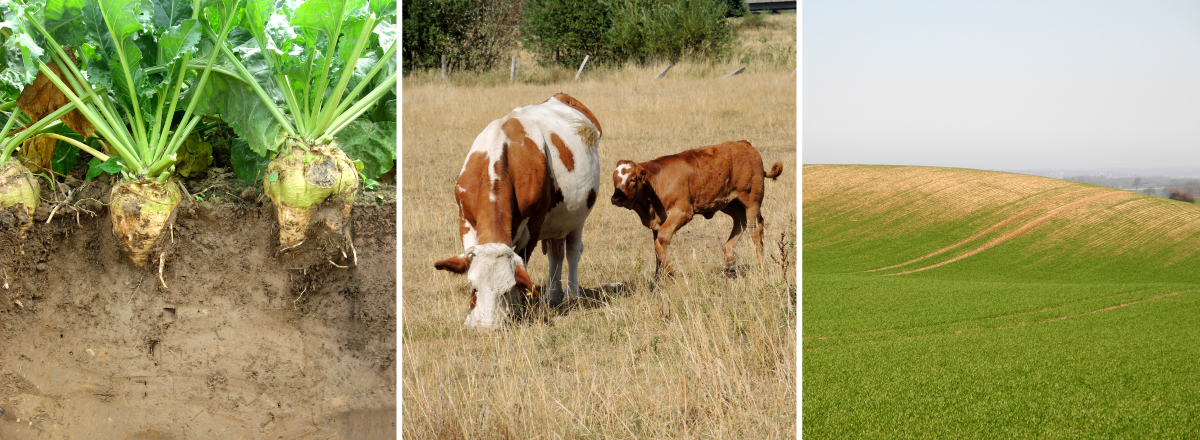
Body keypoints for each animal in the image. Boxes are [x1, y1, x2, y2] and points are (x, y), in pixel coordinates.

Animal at [434, 94, 604, 333]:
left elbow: (523, 261)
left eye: (506, 290)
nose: (486, 329)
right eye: (473, 287)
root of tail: (561, 97)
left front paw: (515, 307)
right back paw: (553, 295)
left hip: (578, 218)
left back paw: (572, 296)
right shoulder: (464, 219)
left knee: (572, 251)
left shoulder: (534, 225)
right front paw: (470, 317)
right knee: (556, 253)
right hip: (556, 221)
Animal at [609, 141, 787, 276]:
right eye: (614, 178)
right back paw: (729, 262)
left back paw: (760, 266)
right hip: (727, 202)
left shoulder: (682, 212)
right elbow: (657, 245)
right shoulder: (657, 220)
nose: (616, 198)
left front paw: (671, 272)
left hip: (752, 202)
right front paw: (659, 277)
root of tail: (745, 144)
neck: (656, 181)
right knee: (740, 221)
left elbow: (662, 238)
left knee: (755, 229)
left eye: (632, 179)